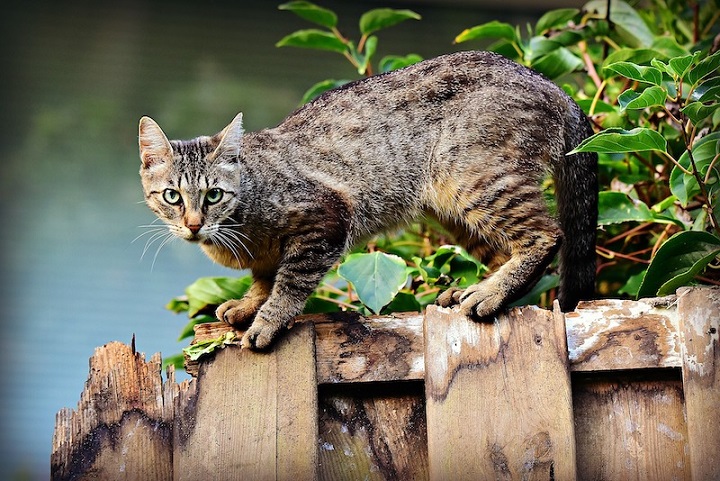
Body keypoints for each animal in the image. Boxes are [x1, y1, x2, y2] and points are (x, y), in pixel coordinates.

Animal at [138, 50, 600, 348]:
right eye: (172, 196)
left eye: (213, 195)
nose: (193, 224)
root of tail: (554, 87)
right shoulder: (268, 255)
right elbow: (264, 278)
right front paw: (250, 304)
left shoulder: (325, 220)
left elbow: (289, 282)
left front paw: (268, 320)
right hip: (452, 209)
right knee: (506, 250)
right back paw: (474, 289)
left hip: (474, 178)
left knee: (546, 235)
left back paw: (489, 294)